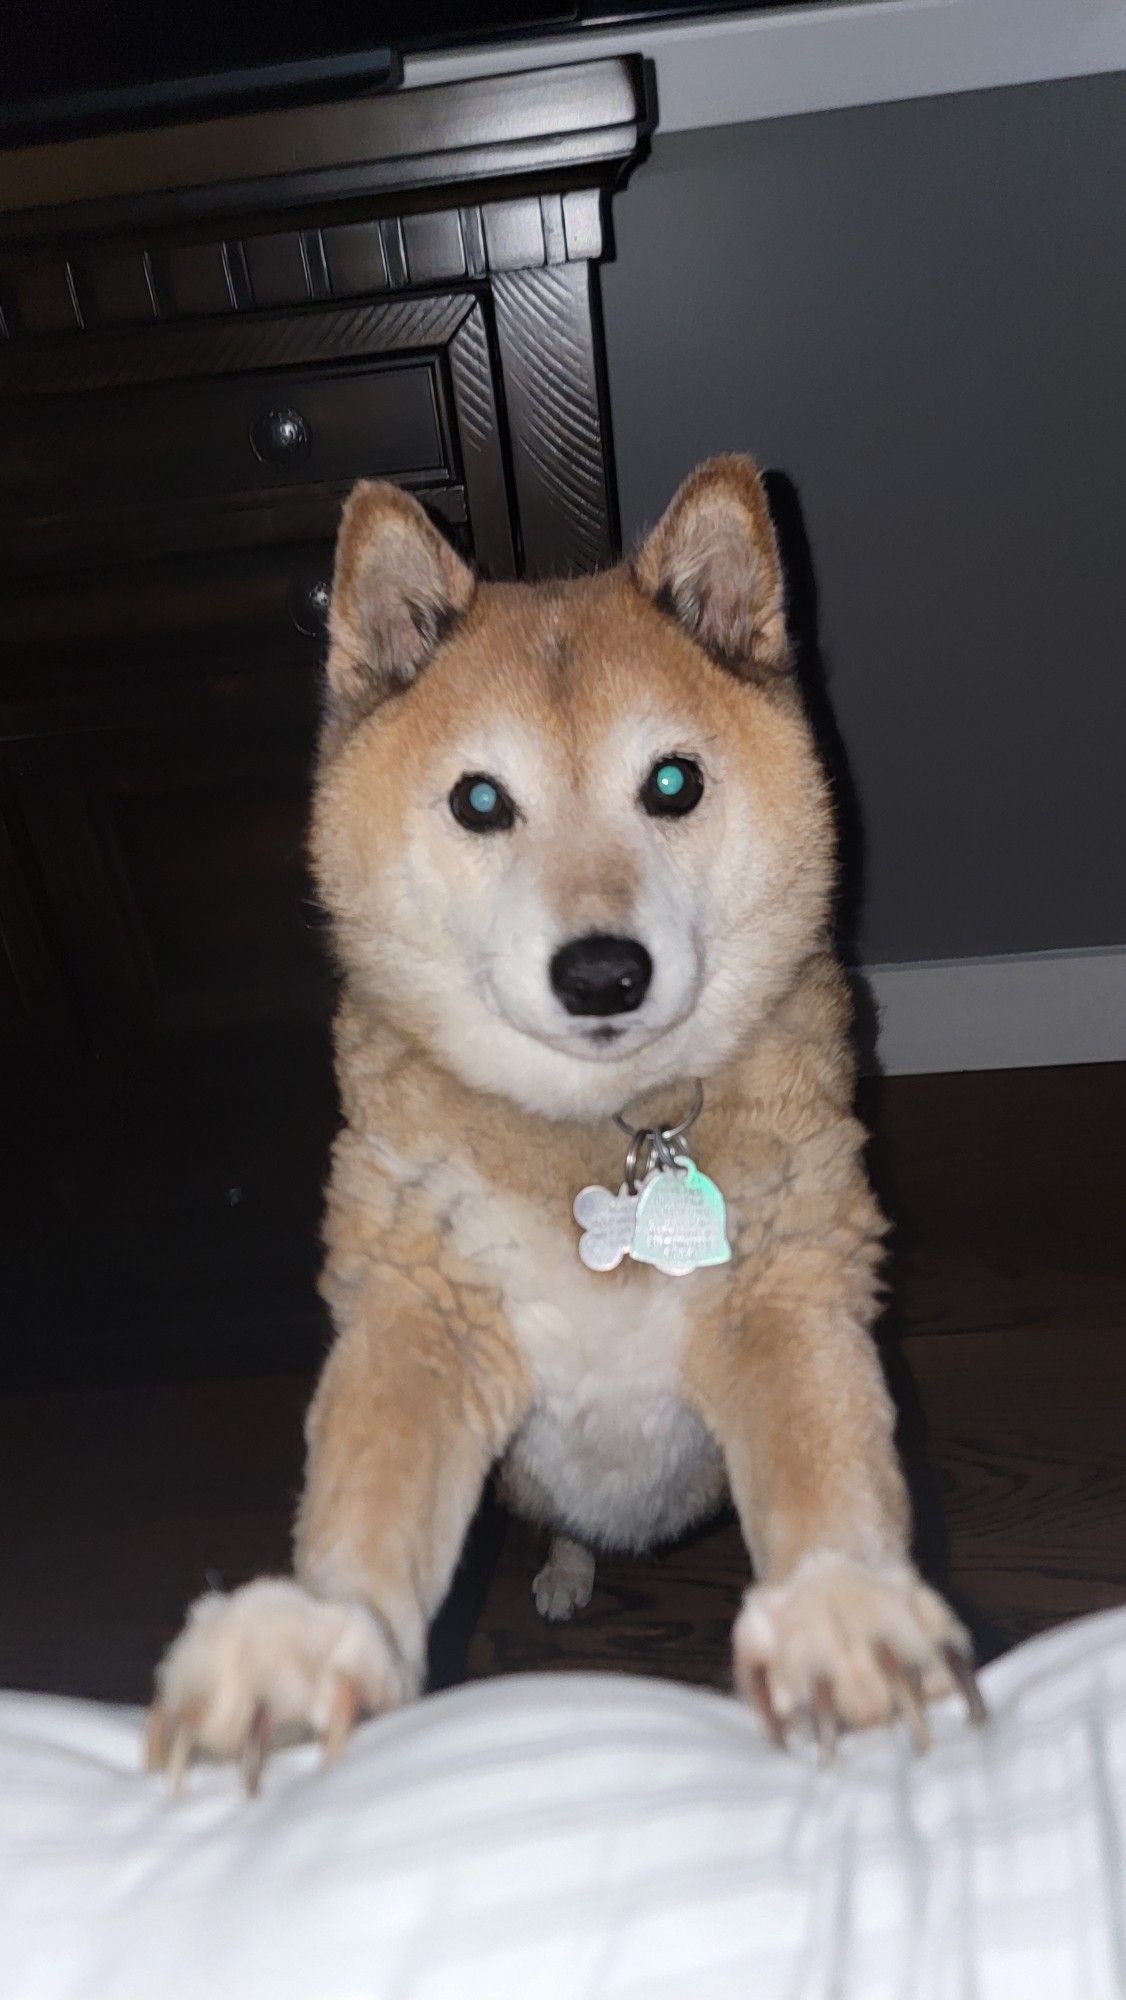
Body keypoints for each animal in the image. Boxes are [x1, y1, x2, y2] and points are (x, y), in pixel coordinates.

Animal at [148, 460, 980, 1792]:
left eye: (673, 782)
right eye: (480, 799)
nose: (600, 973)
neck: (609, 1136)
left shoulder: (784, 1304)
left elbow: (822, 1465)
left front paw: (840, 1606)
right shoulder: (420, 1321)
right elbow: (368, 1489)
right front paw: (305, 1638)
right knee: (560, 1525)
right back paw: (565, 1565)